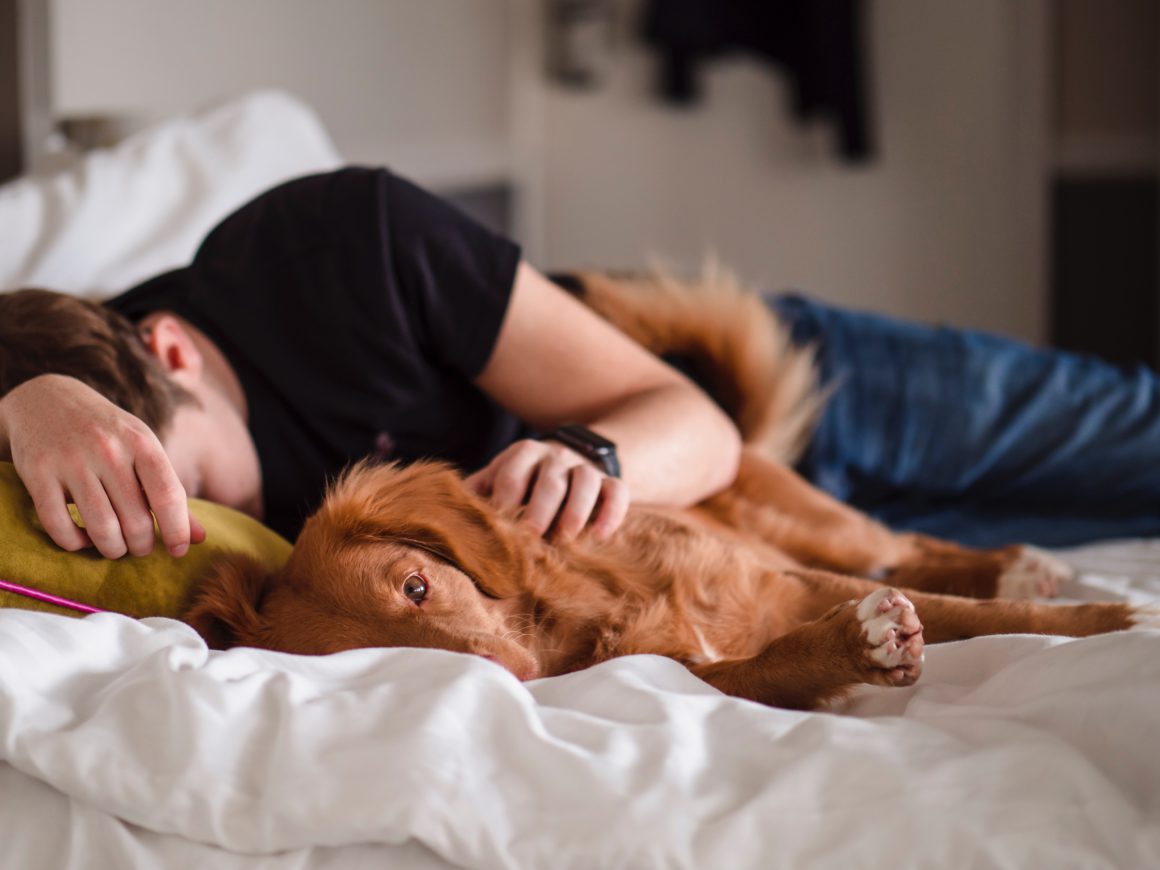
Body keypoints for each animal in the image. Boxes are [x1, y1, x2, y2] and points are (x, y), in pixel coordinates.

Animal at [185, 276, 1146, 709]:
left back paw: (1020, 564)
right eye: (384, 661)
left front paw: (1114, 620)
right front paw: (857, 646)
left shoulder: (787, 577)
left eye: (418, 586)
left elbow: (981, 617)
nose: (513, 677)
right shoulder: (692, 670)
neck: (583, 610)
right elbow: (773, 663)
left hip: (823, 528)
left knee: (910, 546)